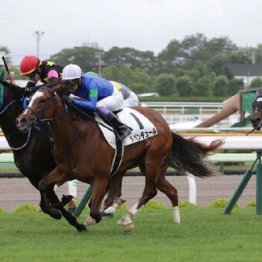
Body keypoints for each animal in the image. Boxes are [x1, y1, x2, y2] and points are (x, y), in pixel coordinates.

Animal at [0, 80, 84, 231]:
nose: (21, 121)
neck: (27, 136)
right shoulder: (32, 176)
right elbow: (49, 198)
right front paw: (75, 222)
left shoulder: (48, 170)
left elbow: (47, 199)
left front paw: (59, 208)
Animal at [15, 86, 222, 231]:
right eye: (29, 99)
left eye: (42, 100)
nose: (21, 120)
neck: (76, 137)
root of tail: (164, 123)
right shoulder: (64, 171)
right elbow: (44, 185)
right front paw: (57, 207)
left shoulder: (100, 177)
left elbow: (94, 209)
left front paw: (98, 213)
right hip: (142, 167)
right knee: (170, 190)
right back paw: (176, 219)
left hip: (152, 160)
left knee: (149, 191)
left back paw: (127, 218)